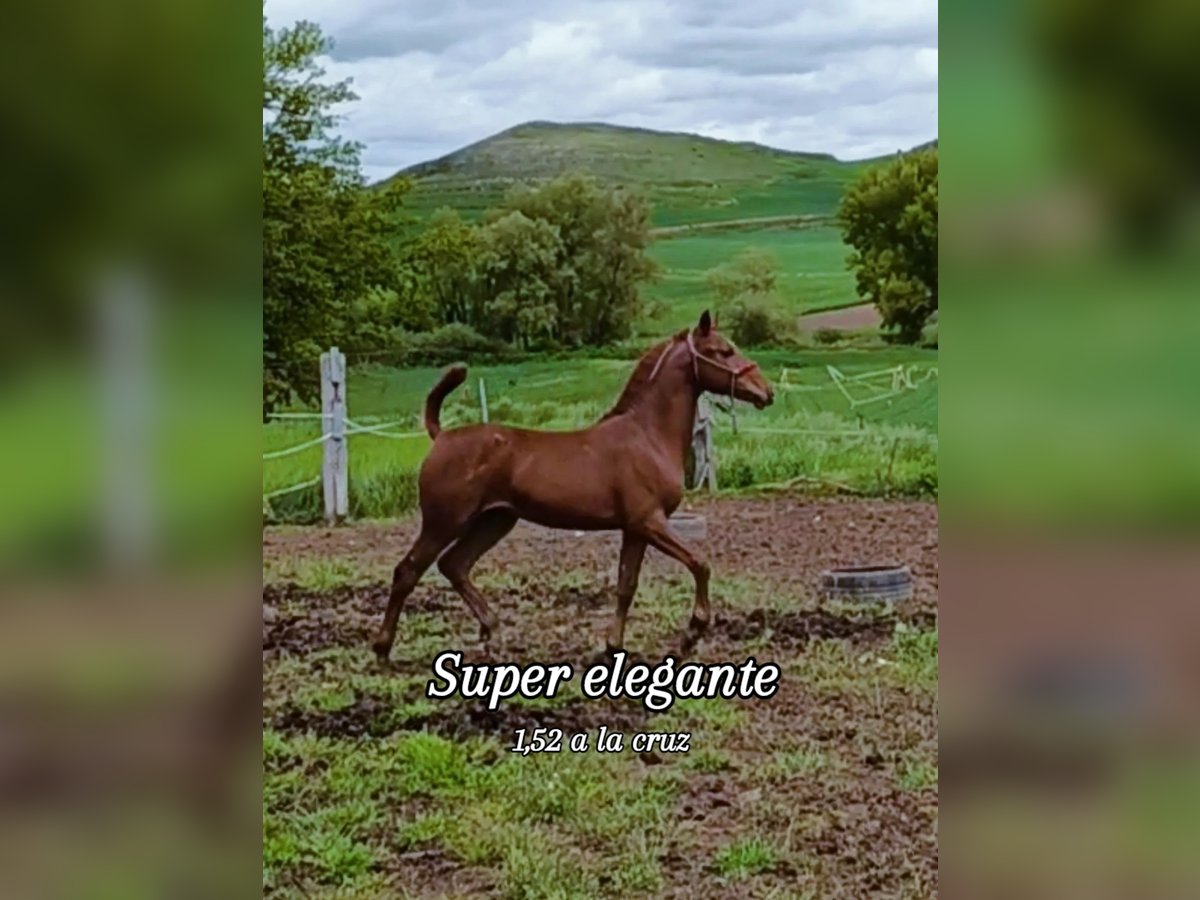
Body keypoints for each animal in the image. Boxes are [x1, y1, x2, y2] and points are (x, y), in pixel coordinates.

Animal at [371, 310, 774, 661]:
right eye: (723, 351)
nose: (766, 392)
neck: (647, 435)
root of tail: (441, 436)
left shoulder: (635, 528)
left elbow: (626, 585)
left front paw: (613, 646)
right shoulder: (649, 521)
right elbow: (700, 564)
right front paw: (692, 633)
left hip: (495, 521)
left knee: (454, 565)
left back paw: (491, 629)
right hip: (444, 522)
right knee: (408, 571)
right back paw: (382, 648)